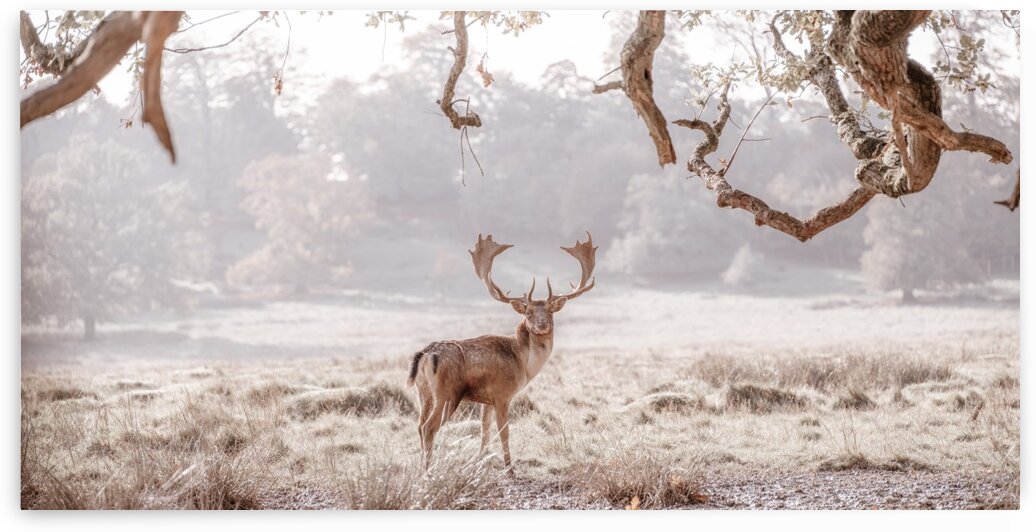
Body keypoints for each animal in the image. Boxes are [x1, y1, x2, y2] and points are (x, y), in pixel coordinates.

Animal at [406, 232, 597, 471]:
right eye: (528, 312)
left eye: (551, 311)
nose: (542, 324)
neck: (523, 364)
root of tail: (425, 355)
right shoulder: (502, 394)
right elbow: (504, 432)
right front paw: (509, 467)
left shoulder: (486, 400)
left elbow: (485, 432)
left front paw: (478, 461)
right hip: (447, 393)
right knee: (429, 427)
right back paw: (428, 469)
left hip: (423, 391)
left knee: (419, 425)